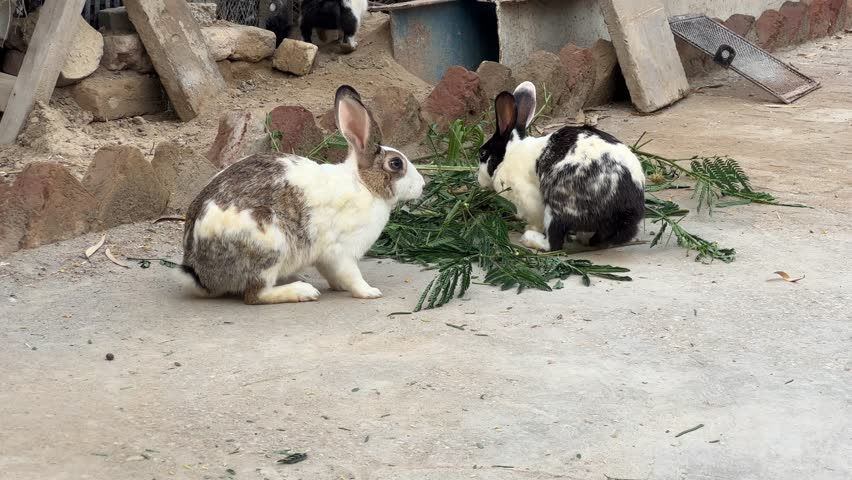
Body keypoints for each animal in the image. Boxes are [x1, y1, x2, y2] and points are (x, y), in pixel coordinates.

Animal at [178, 85, 425, 305]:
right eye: (396, 163)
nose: (422, 185)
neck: (364, 185)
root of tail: (200, 274)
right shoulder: (340, 251)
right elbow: (352, 275)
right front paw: (370, 292)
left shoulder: (327, 259)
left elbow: (334, 275)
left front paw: (339, 287)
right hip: (268, 243)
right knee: (256, 295)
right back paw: (303, 291)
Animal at [478, 81, 645, 252]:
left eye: (482, 153)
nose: (479, 181)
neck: (510, 153)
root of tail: (625, 210)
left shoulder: (527, 198)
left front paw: (530, 228)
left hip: (558, 207)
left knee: (554, 242)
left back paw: (529, 238)